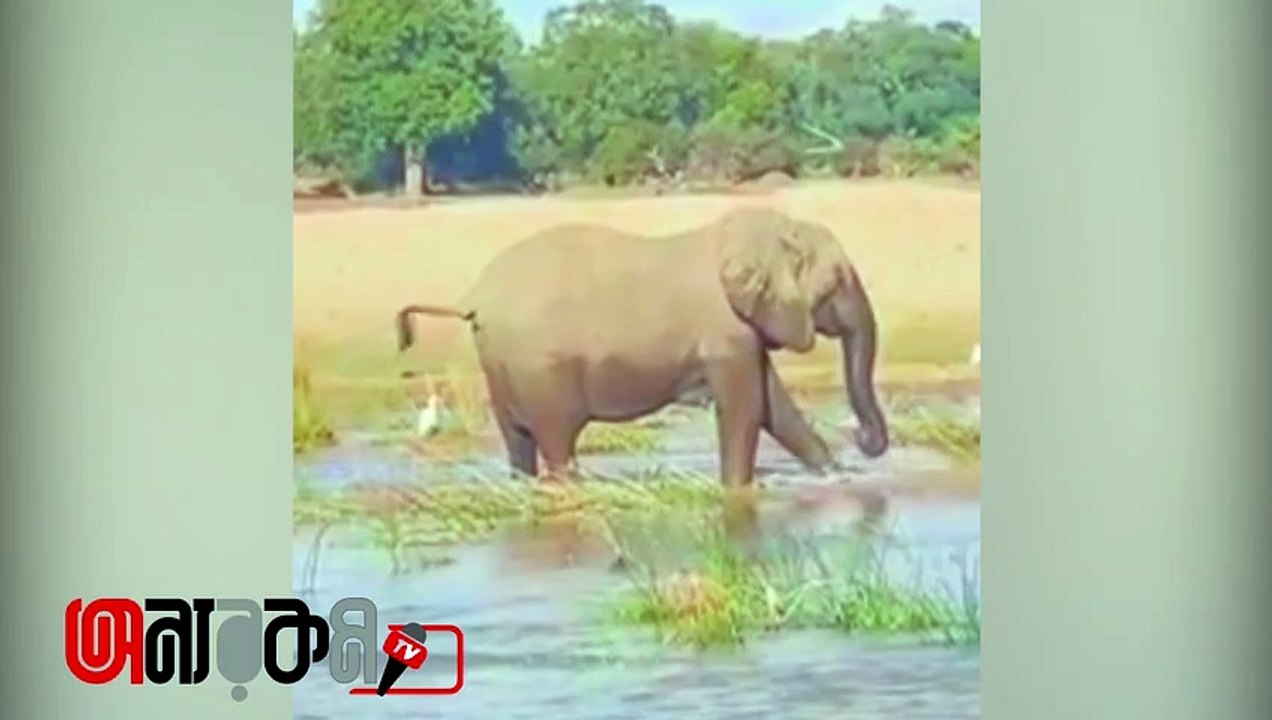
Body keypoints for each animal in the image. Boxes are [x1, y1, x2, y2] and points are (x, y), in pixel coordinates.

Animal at [395, 206, 889, 487]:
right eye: (837, 281)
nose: (863, 441)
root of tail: (474, 296)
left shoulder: (741, 332)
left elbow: (774, 407)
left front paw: (837, 478)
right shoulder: (725, 332)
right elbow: (747, 411)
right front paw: (740, 491)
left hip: (499, 359)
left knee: (518, 440)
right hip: (538, 365)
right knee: (556, 440)